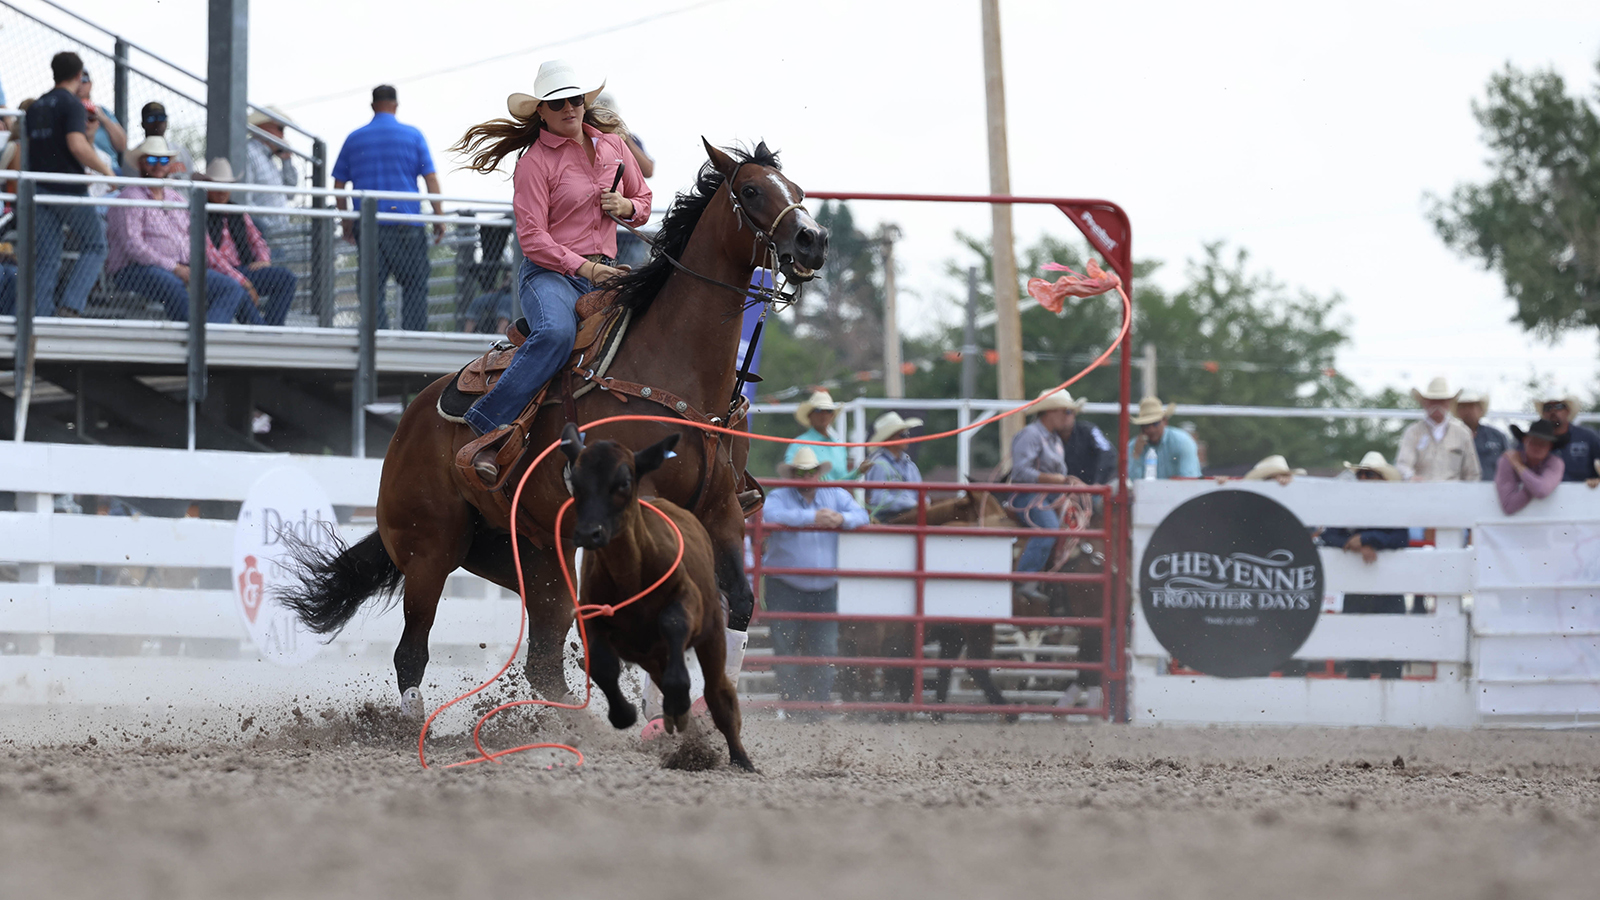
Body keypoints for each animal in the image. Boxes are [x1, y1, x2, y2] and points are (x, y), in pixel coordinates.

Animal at [281, 141, 825, 714]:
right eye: (751, 190)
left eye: (798, 191)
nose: (814, 240)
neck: (673, 374)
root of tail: (411, 420)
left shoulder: (721, 510)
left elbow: (737, 605)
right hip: (430, 550)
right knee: (412, 653)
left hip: (536, 556)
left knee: (543, 659)